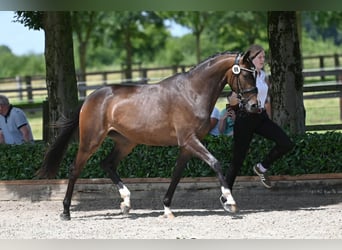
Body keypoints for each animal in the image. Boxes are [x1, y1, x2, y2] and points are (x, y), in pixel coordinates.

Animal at [38, 51, 258, 221]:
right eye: (247, 75)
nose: (254, 106)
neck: (192, 93)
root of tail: (90, 98)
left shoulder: (187, 145)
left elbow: (177, 174)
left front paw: (167, 208)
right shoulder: (189, 140)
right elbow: (215, 163)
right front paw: (229, 201)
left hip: (126, 142)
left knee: (107, 164)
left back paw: (126, 203)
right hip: (91, 141)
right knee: (75, 169)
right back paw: (66, 211)